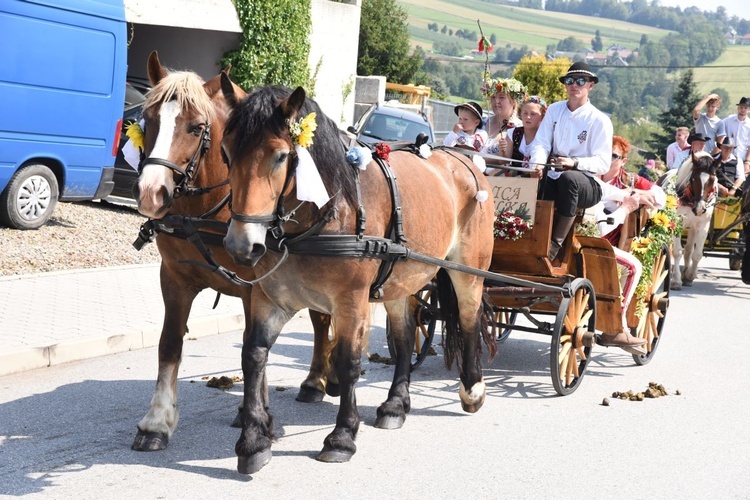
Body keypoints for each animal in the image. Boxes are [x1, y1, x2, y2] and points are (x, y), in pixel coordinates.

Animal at [131, 51, 334, 454]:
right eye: (148, 120)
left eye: (196, 128)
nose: (150, 193)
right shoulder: (174, 277)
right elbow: (170, 343)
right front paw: (157, 421)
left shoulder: (258, 285)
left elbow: (256, 345)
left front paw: (257, 414)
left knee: (322, 319)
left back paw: (316, 380)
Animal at [220, 84, 496, 474]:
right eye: (226, 152)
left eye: (280, 156)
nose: (241, 245)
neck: (325, 214)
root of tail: (463, 159)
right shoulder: (269, 298)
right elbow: (253, 355)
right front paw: (254, 440)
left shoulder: (351, 302)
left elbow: (348, 363)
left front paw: (342, 437)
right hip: (400, 281)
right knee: (404, 336)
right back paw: (396, 404)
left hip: (468, 271)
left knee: (470, 319)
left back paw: (472, 389)